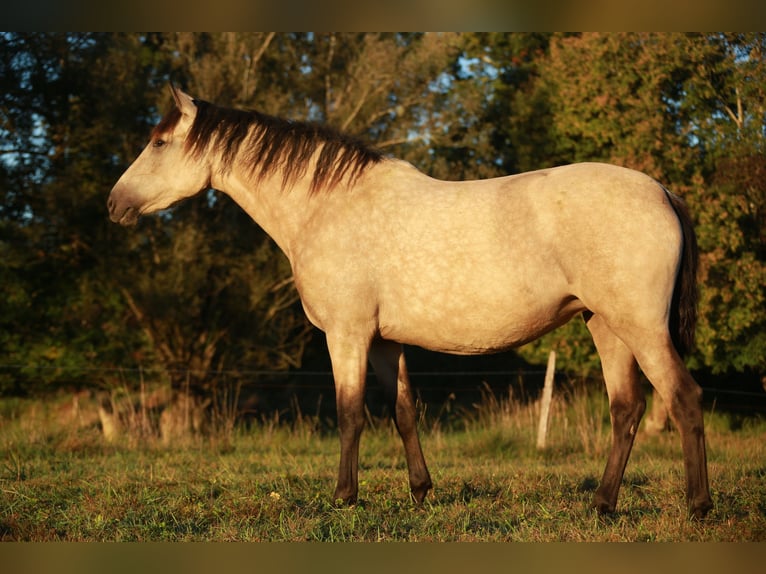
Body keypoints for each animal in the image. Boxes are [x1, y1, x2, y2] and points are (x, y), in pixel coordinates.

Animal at [108, 83, 712, 520]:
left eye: (159, 143)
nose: (115, 203)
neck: (327, 205)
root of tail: (662, 191)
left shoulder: (347, 334)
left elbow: (350, 413)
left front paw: (344, 499)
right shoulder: (385, 343)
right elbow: (402, 412)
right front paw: (421, 492)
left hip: (640, 327)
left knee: (682, 398)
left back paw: (698, 506)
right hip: (605, 324)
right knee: (626, 409)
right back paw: (603, 505)